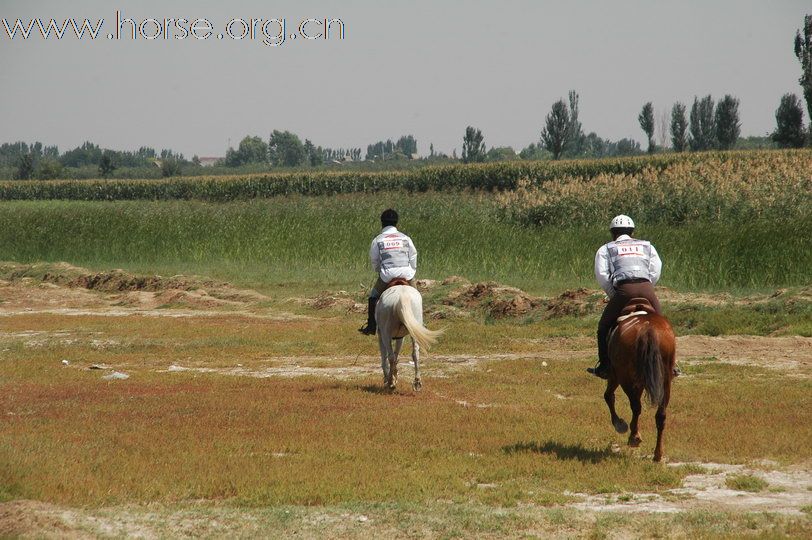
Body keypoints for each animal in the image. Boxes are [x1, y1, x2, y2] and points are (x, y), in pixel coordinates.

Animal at [604, 298, 676, 462]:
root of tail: (648, 328)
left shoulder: (615, 375)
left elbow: (608, 396)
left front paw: (619, 424)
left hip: (624, 377)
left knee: (635, 406)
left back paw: (634, 437)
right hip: (665, 380)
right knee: (661, 415)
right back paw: (658, 454)